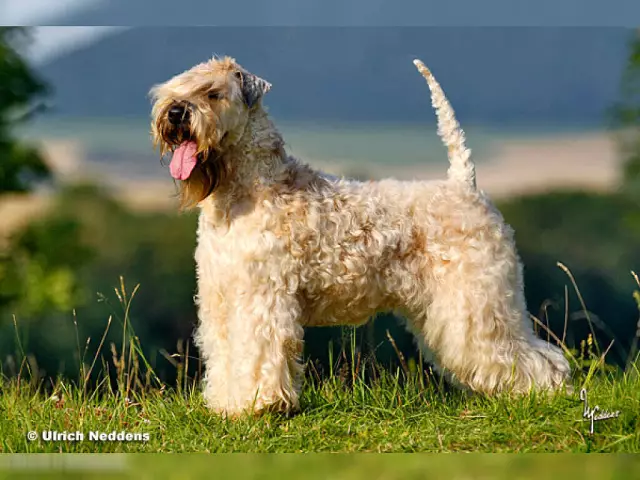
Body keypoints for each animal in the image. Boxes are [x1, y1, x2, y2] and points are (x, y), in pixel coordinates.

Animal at [150, 56, 568, 416]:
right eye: (176, 87)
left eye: (212, 93)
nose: (175, 112)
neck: (242, 193)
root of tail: (465, 185)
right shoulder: (220, 298)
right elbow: (225, 355)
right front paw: (226, 404)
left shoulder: (261, 298)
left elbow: (257, 353)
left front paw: (258, 405)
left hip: (479, 303)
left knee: (530, 354)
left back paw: (543, 393)